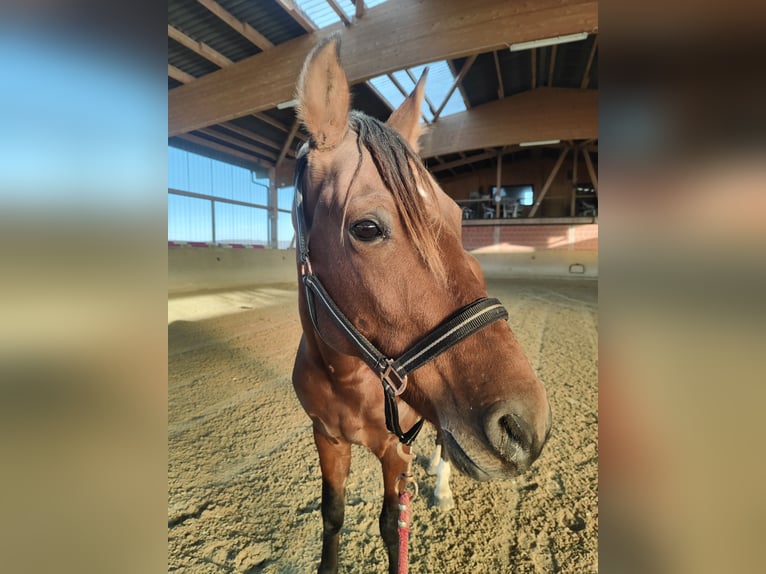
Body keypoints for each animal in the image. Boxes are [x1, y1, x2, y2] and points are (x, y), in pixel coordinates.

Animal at [292, 37, 552, 574]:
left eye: (457, 216)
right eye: (367, 228)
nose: (525, 428)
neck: (344, 377)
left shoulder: (396, 450)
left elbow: (394, 528)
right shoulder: (326, 439)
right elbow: (333, 515)